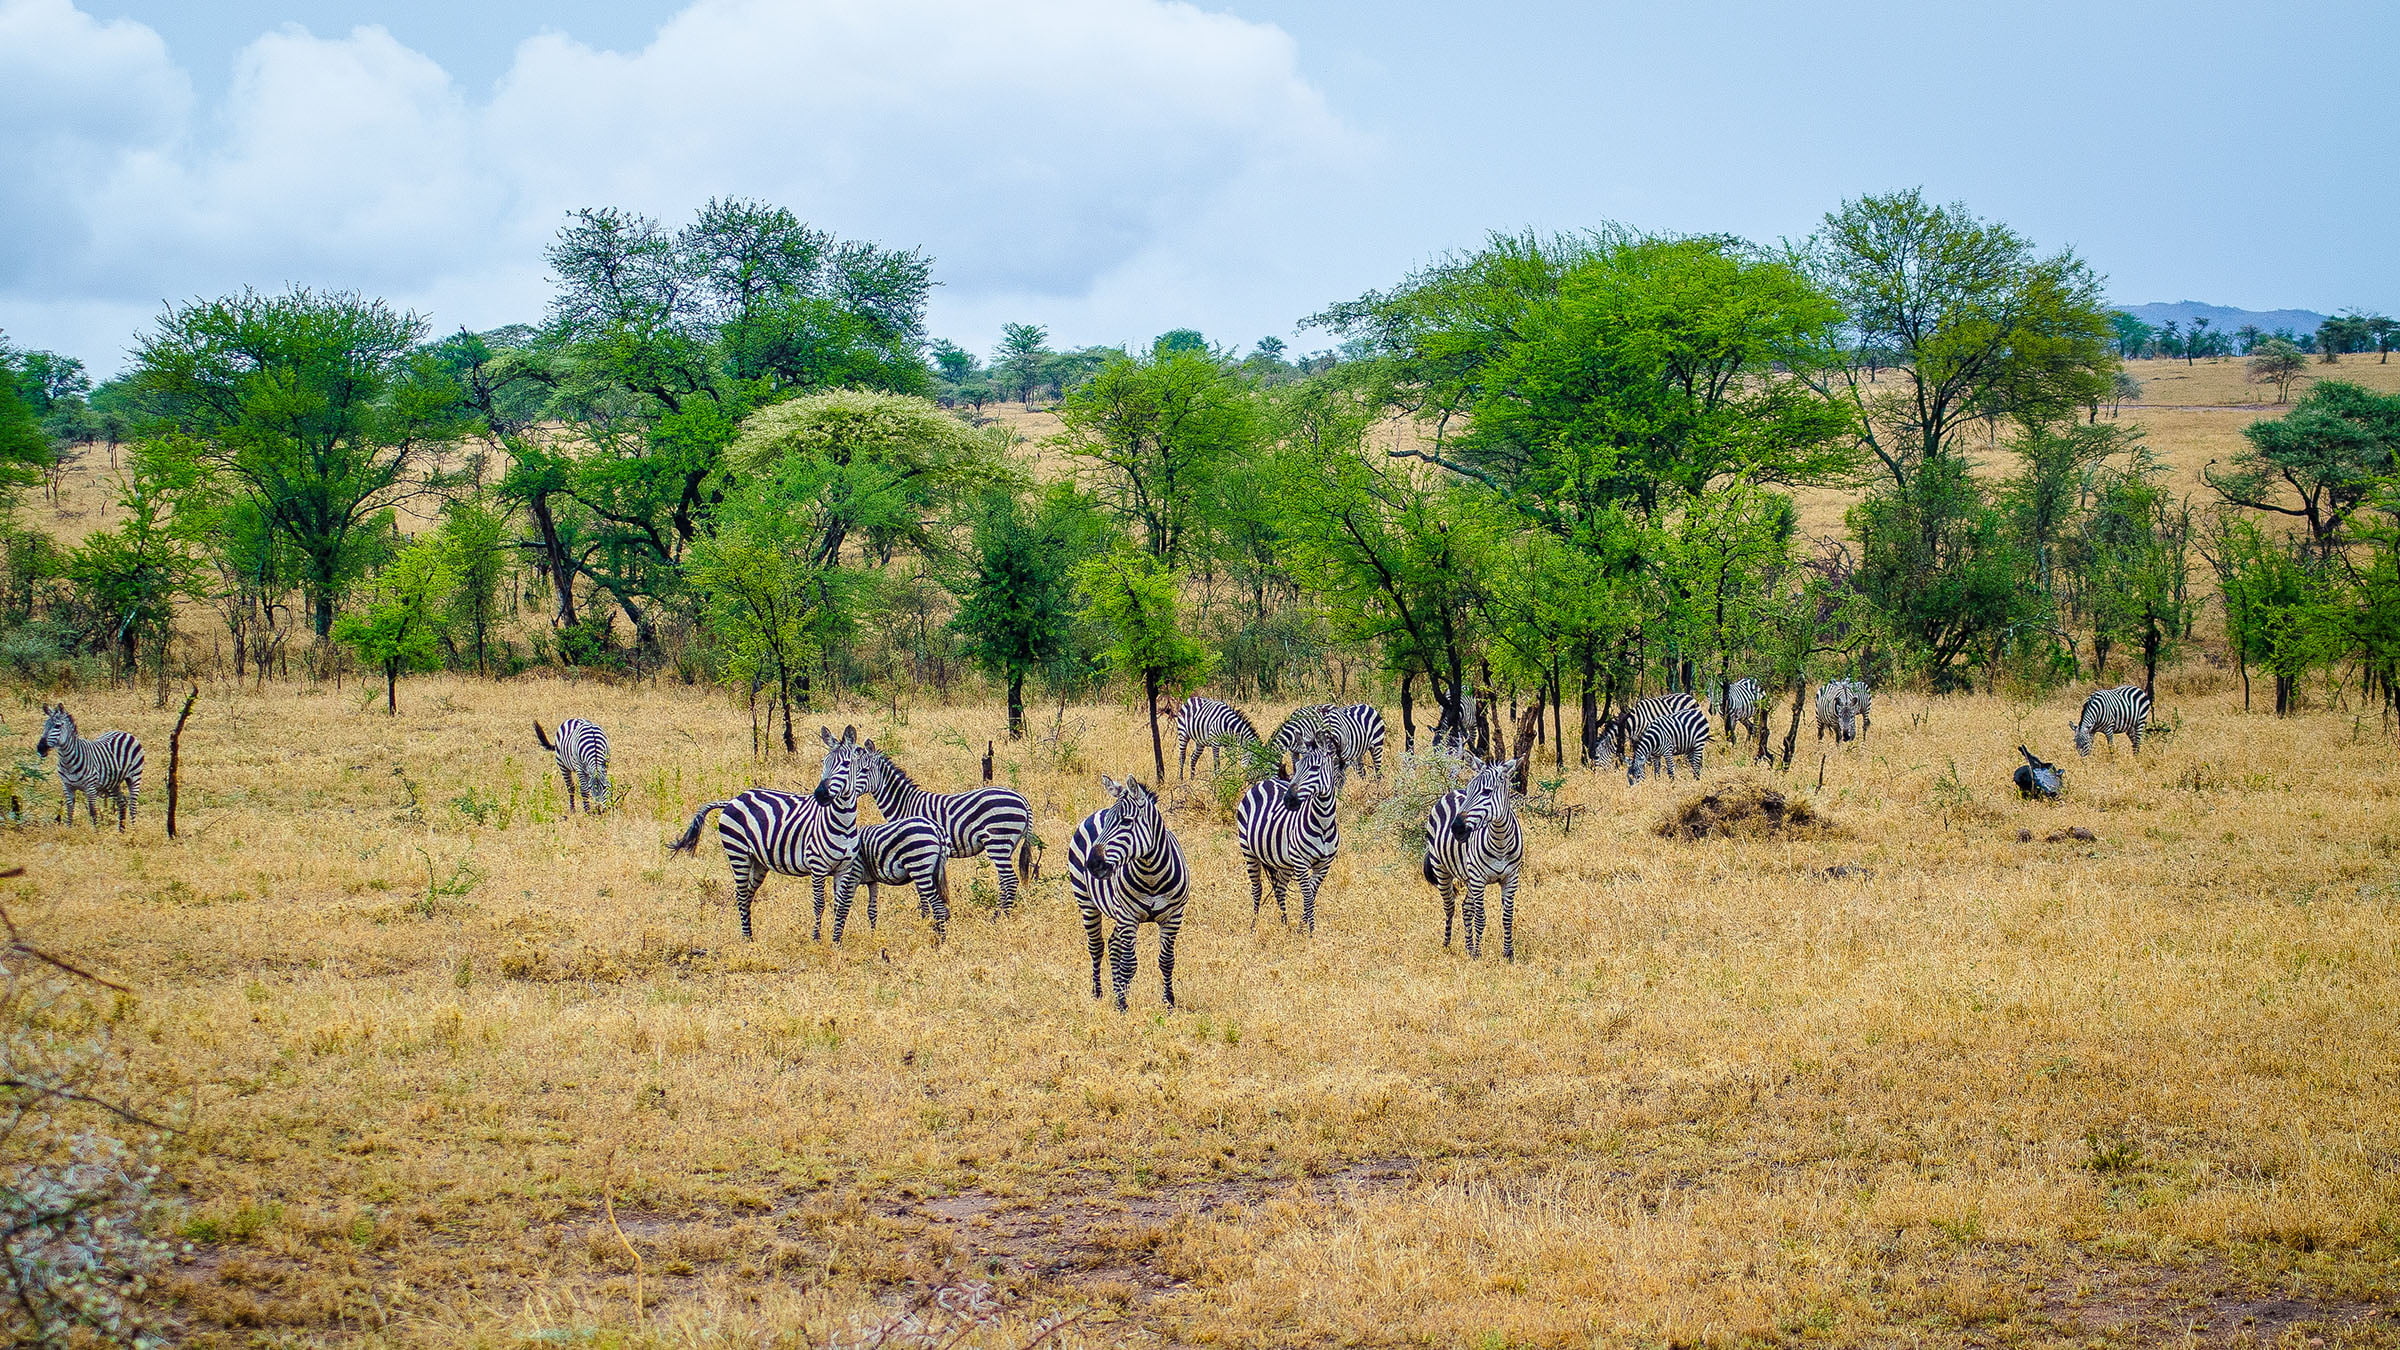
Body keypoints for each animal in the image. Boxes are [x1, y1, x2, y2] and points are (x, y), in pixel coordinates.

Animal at [667, 725, 864, 936]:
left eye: (846, 764)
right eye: (823, 762)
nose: (820, 795)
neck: (843, 823)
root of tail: (733, 799)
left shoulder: (844, 868)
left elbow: (840, 907)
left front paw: (836, 940)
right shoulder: (817, 867)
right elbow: (819, 905)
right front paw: (817, 939)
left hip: (758, 861)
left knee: (747, 895)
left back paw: (751, 937)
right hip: (738, 853)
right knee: (740, 895)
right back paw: (746, 937)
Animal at [859, 739, 1036, 908]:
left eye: (864, 770)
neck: (906, 804)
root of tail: (1022, 799)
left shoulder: (916, 850)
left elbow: (922, 891)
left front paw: (925, 916)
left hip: (997, 841)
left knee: (1010, 880)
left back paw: (1001, 915)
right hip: (1008, 845)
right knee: (1004, 880)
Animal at [1070, 773, 1190, 1004]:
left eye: (1126, 822)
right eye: (1107, 823)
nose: (1092, 865)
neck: (1151, 874)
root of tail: (1097, 811)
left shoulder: (1173, 916)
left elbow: (1166, 960)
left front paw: (1169, 1002)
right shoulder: (1128, 916)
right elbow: (1128, 964)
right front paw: (1123, 1005)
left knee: (1113, 944)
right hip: (1086, 901)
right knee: (1097, 946)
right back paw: (1098, 992)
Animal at [1248, 730, 1344, 932]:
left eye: (1315, 768)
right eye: (1297, 766)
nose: (1288, 800)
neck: (1323, 823)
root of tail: (1268, 781)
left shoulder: (1324, 865)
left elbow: (1312, 895)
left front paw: (1302, 927)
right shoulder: (1301, 862)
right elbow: (1307, 896)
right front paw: (1310, 931)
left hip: (1284, 862)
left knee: (1280, 888)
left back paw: (1285, 923)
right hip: (1249, 852)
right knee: (1257, 889)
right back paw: (1253, 925)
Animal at [1411, 749, 1526, 960]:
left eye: (1487, 792)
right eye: (1470, 789)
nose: (1456, 828)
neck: (1500, 842)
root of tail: (1453, 791)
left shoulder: (1511, 877)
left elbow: (1507, 917)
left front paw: (1508, 954)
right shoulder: (1479, 878)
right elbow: (1481, 918)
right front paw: (1478, 955)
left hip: (1468, 876)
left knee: (1466, 907)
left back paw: (1468, 947)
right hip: (1442, 869)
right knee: (1450, 906)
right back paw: (1447, 945)